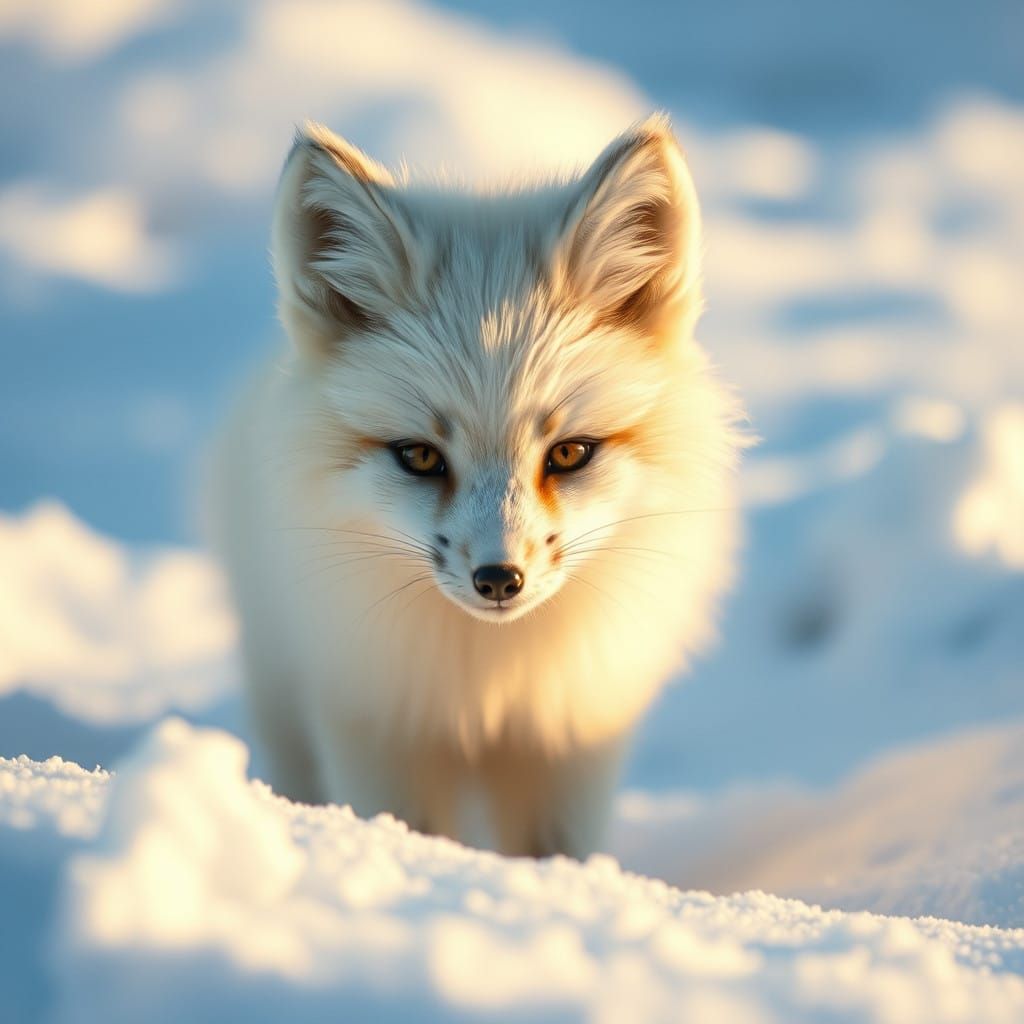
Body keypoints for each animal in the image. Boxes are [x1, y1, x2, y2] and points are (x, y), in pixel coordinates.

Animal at [209, 114, 743, 859]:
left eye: (569, 453)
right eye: (420, 456)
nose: (498, 579)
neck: (485, 686)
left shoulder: (569, 739)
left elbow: (556, 855)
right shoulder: (379, 724)